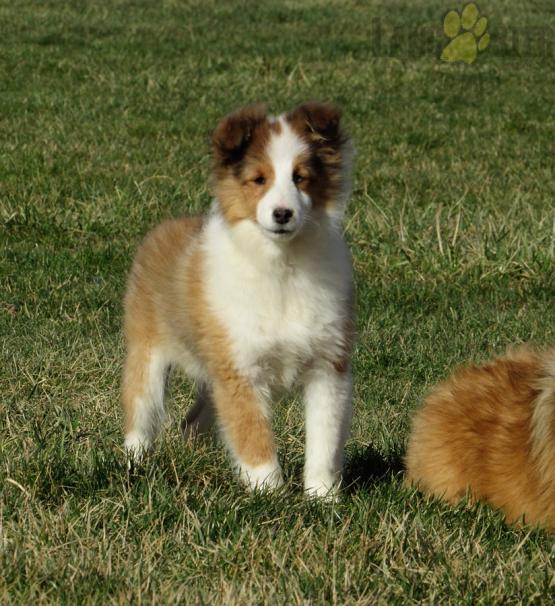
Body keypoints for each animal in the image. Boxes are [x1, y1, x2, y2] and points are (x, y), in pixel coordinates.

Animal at [121, 102, 356, 496]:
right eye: (259, 179)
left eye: (301, 177)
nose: (282, 214)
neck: (281, 266)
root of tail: (162, 229)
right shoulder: (241, 370)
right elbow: (253, 436)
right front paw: (270, 495)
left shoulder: (328, 367)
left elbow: (324, 442)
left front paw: (322, 498)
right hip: (148, 357)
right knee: (140, 415)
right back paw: (132, 464)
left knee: (192, 422)